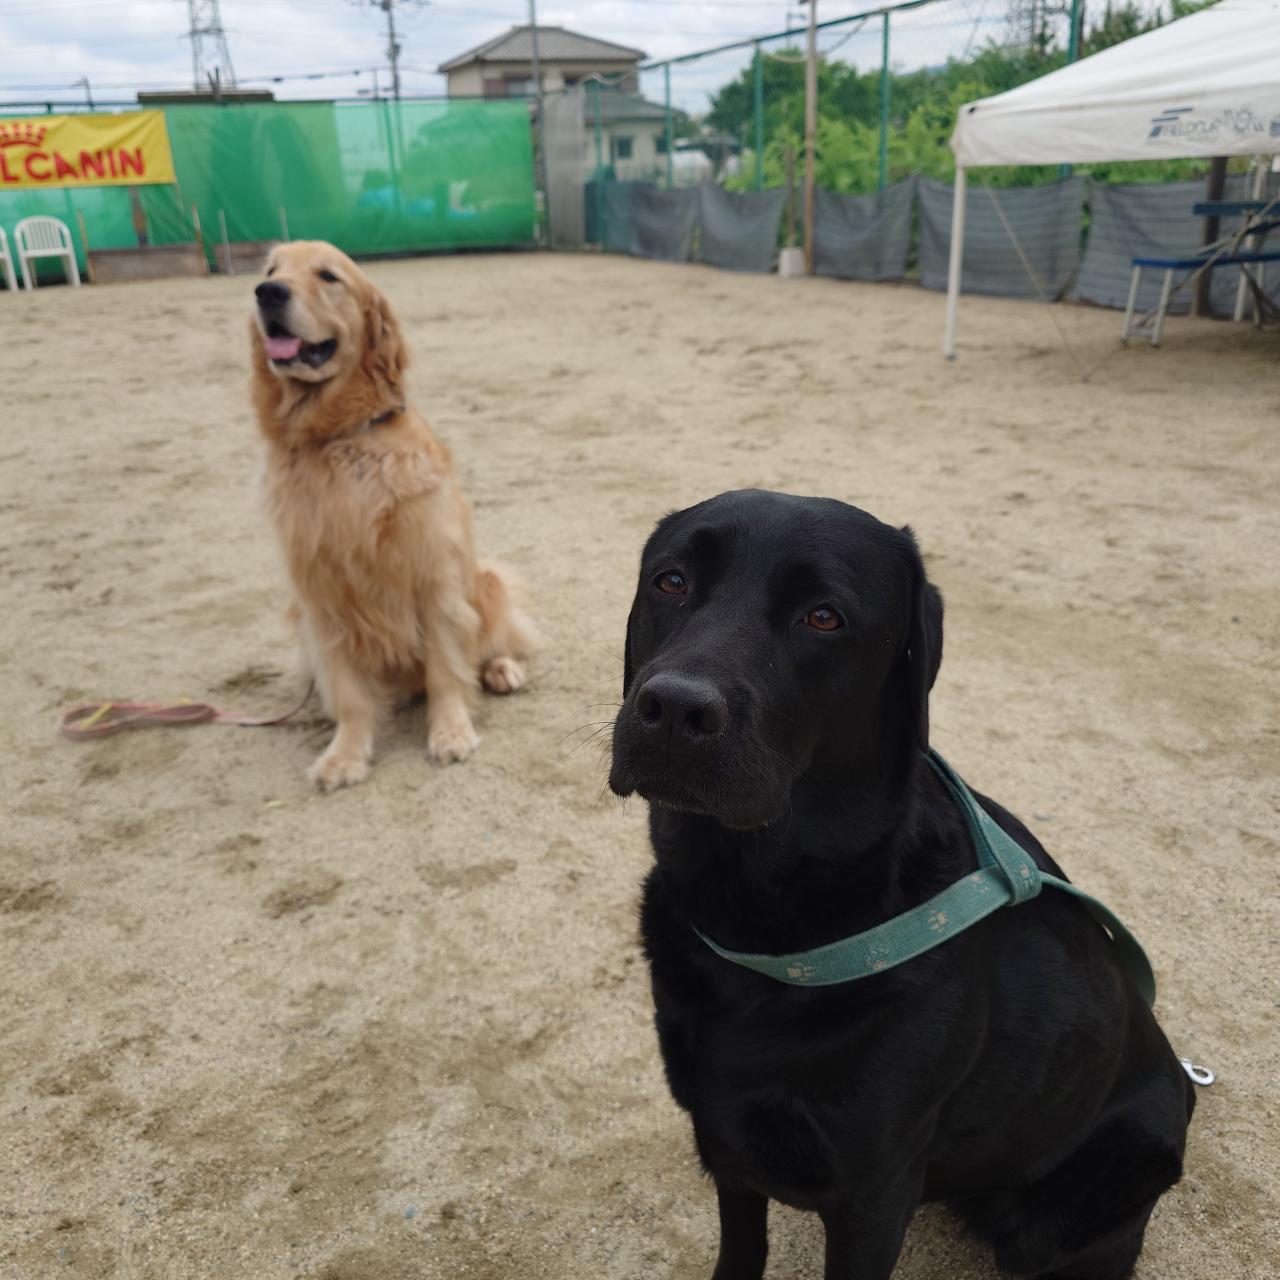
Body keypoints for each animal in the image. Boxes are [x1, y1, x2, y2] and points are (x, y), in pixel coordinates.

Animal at [250, 241, 534, 789]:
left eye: (328, 276)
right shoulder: (320, 597)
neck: (340, 438)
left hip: (487, 577)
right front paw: (345, 755)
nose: (267, 292)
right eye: (272, 269)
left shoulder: (433, 574)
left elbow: (446, 669)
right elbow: (349, 692)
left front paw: (450, 733)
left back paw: (501, 670)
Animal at [610, 490, 1193, 1280]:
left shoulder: (872, 1194)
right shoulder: (721, 1135)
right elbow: (740, 1248)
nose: (674, 709)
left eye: (824, 616)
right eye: (670, 581)